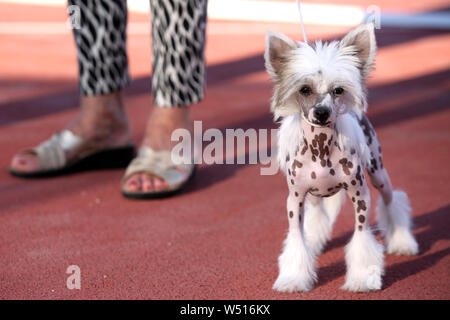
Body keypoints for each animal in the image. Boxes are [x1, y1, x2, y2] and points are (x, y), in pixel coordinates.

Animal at [264, 23, 418, 292]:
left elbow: (361, 238)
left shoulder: (360, 195)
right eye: (305, 89)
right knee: (317, 213)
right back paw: (315, 241)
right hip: (314, 195)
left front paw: (363, 278)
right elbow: (296, 238)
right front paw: (293, 278)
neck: (321, 148)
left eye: (338, 90)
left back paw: (402, 242)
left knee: (391, 200)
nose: (322, 112)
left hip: (378, 172)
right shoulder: (295, 200)